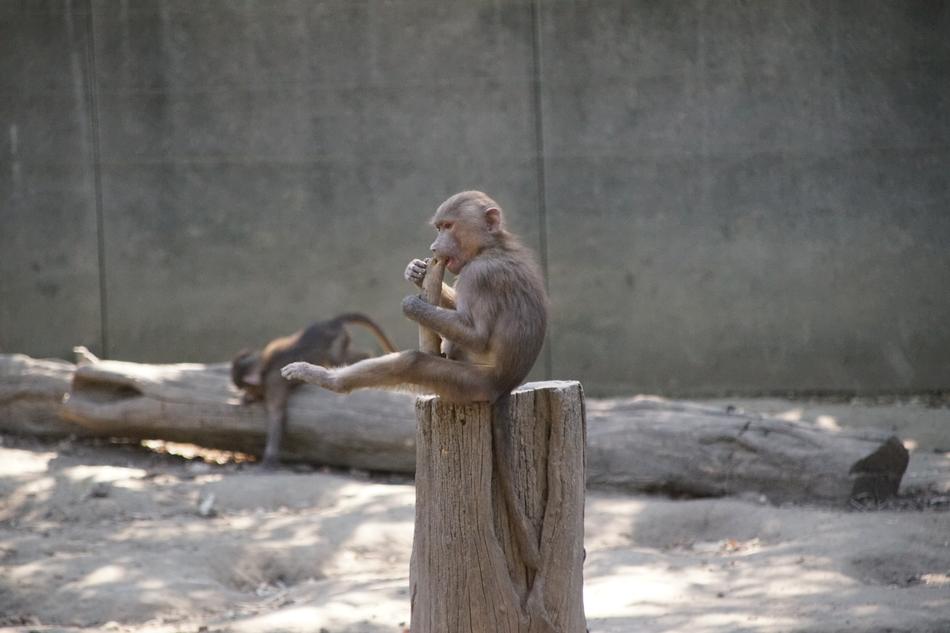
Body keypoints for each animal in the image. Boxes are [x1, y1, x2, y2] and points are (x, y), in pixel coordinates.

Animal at [232, 313, 397, 468]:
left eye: (244, 386)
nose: (247, 392)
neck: (264, 367)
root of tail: (331, 322)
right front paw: (245, 398)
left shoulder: (273, 383)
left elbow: (277, 416)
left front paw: (270, 457)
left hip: (337, 340)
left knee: (338, 357)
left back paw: (366, 356)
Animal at [281, 191, 549, 591]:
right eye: (438, 228)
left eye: (448, 226)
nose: (435, 248)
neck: (492, 246)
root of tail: (505, 388)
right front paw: (419, 273)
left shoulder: (480, 276)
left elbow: (478, 336)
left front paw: (413, 303)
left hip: (468, 383)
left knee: (414, 361)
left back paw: (329, 380)